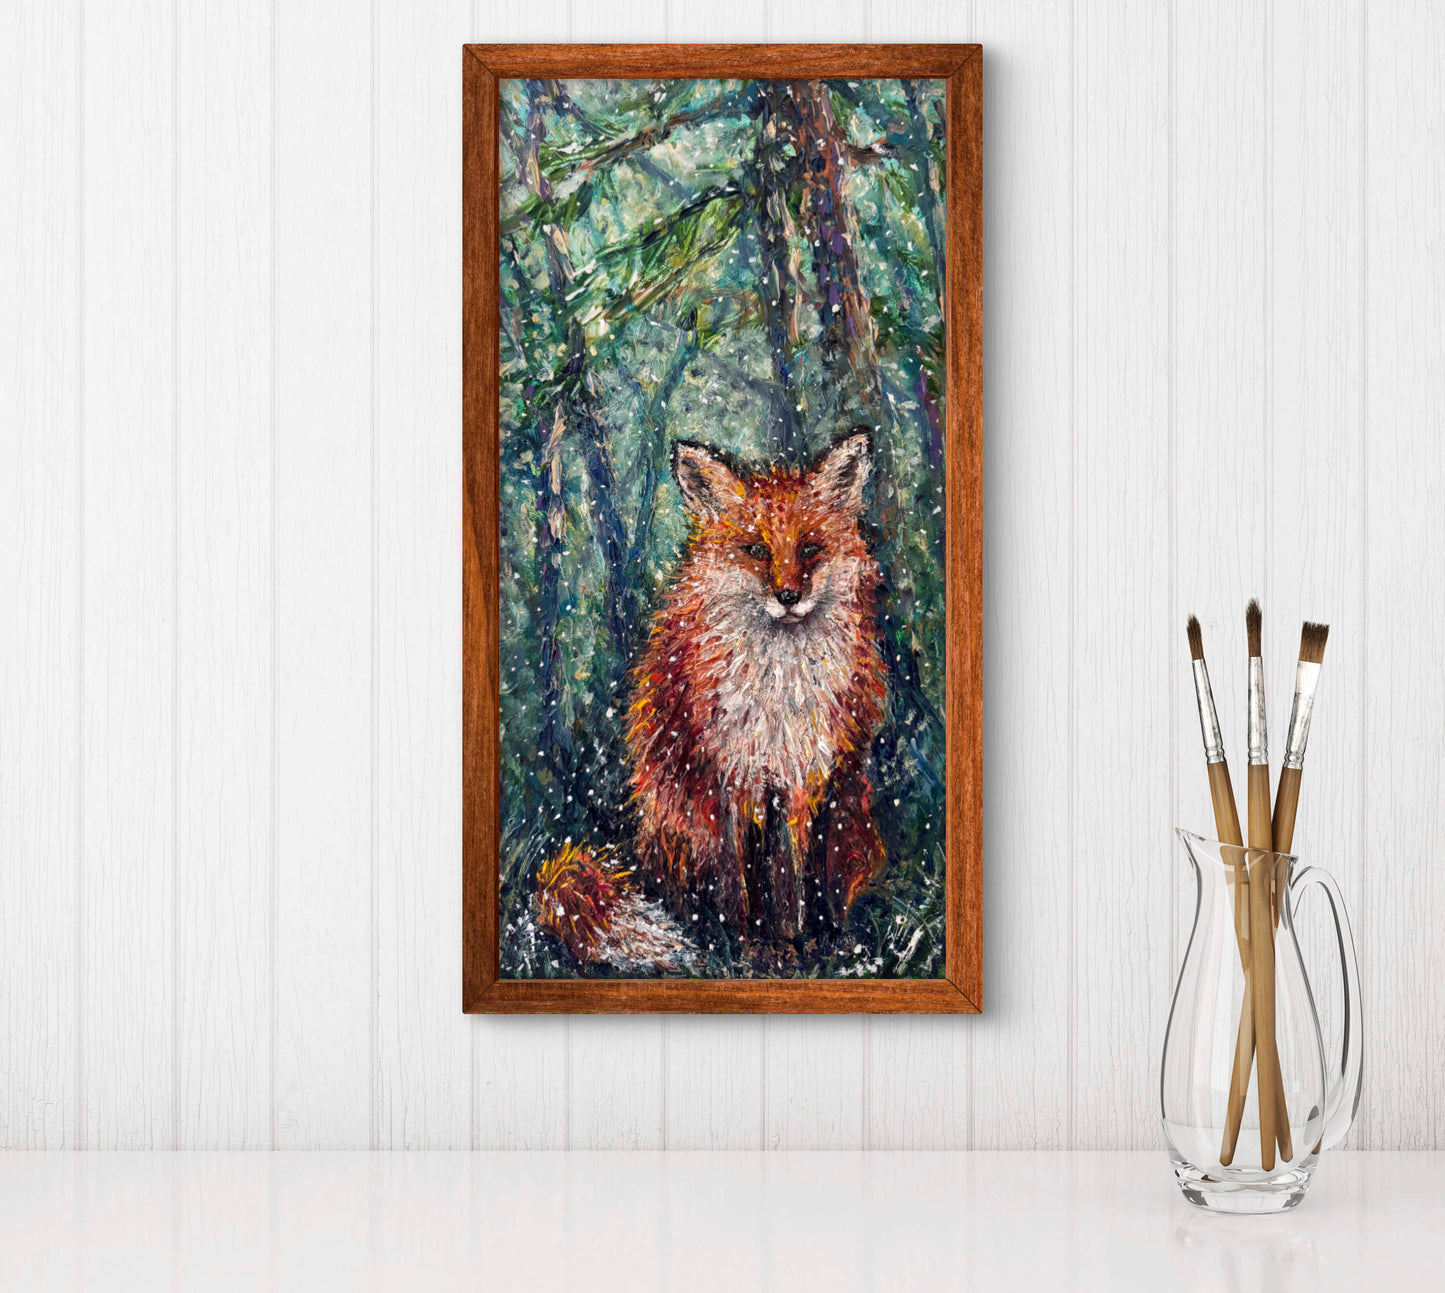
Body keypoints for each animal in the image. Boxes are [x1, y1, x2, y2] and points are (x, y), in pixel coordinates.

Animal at [624, 431, 889, 943]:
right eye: (755, 551)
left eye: (810, 549)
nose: (788, 596)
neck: (778, 689)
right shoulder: (727, 774)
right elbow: (734, 874)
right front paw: (742, 940)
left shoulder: (802, 774)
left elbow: (793, 870)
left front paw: (796, 937)